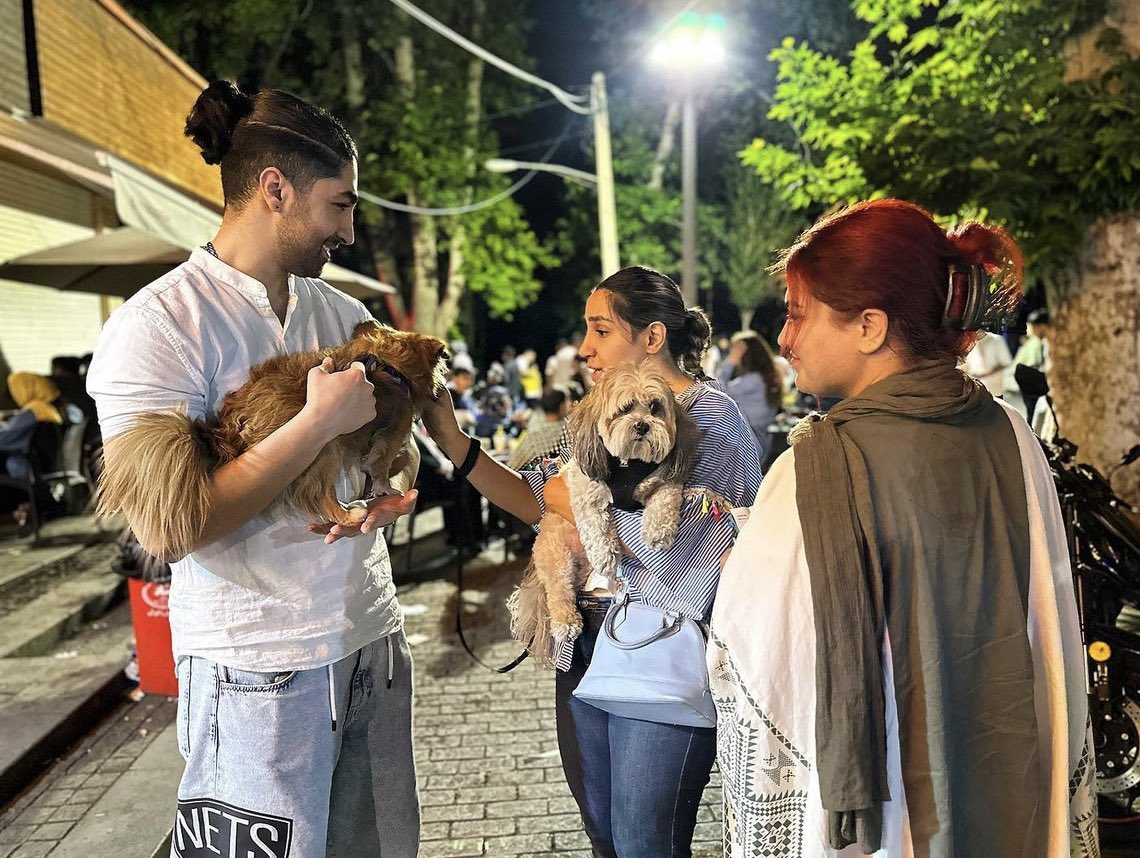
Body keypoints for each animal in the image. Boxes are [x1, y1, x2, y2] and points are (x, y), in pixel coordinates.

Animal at [96, 321, 444, 562]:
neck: (390, 362)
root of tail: (224, 427)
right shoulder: (392, 431)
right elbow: (381, 465)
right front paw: (386, 489)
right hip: (324, 445)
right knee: (317, 493)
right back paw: (350, 514)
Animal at [506, 362, 693, 660]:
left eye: (655, 407)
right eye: (626, 408)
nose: (642, 425)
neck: (629, 465)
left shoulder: (665, 480)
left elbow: (665, 499)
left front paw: (658, 531)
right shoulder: (584, 490)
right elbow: (595, 524)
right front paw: (605, 554)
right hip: (556, 557)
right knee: (559, 592)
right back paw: (566, 622)